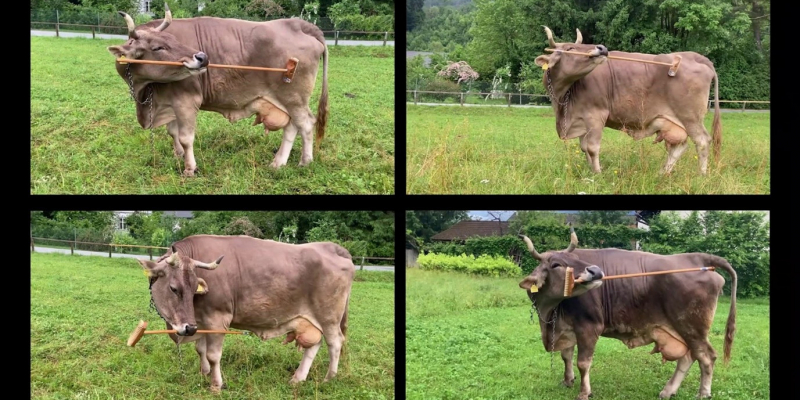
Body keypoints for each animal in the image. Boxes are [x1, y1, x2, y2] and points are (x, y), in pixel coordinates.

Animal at [107, 3, 329, 177]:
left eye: (174, 40)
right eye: (158, 47)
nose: (203, 57)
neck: (145, 92)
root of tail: (299, 24)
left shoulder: (186, 101)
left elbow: (186, 138)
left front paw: (189, 168)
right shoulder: (169, 102)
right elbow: (172, 132)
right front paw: (178, 155)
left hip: (294, 98)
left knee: (306, 124)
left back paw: (305, 161)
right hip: (286, 102)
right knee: (291, 126)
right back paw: (278, 162)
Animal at [136, 235, 353, 392]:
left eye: (192, 288)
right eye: (174, 288)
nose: (188, 328)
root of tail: (331, 247)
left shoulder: (217, 319)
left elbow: (213, 355)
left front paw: (216, 385)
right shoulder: (200, 321)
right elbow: (200, 349)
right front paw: (203, 373)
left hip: (329, 317)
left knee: (335, 343)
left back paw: (329, 378)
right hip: (311, 320)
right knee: (314, 345)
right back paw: (298, 378)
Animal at [516, 228, 736, 400]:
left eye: (576, 258)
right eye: (556, 264)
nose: (596, 271)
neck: (550, 311)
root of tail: (697, 256)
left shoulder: (589, 326)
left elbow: (583, 362)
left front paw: (584, 392)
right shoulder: (566, 327)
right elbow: (566, 355)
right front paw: (567, 380)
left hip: (692, 327)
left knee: (706, 357)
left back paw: (703, 393)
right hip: (683, 330)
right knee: (689, 357)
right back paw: (668, 391)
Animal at [534, 26, 721, 175]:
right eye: (571, 47)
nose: (602, 48)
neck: (562, 99)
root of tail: (696, 57)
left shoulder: (596, 115)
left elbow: (592, 148)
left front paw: (597, 174)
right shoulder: (581, 119)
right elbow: (584, 148)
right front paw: (590, 171)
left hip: (690, 117)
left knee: (702, 142)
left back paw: (701, 175)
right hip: (673, 122)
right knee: (680, 146)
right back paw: (662, 173)